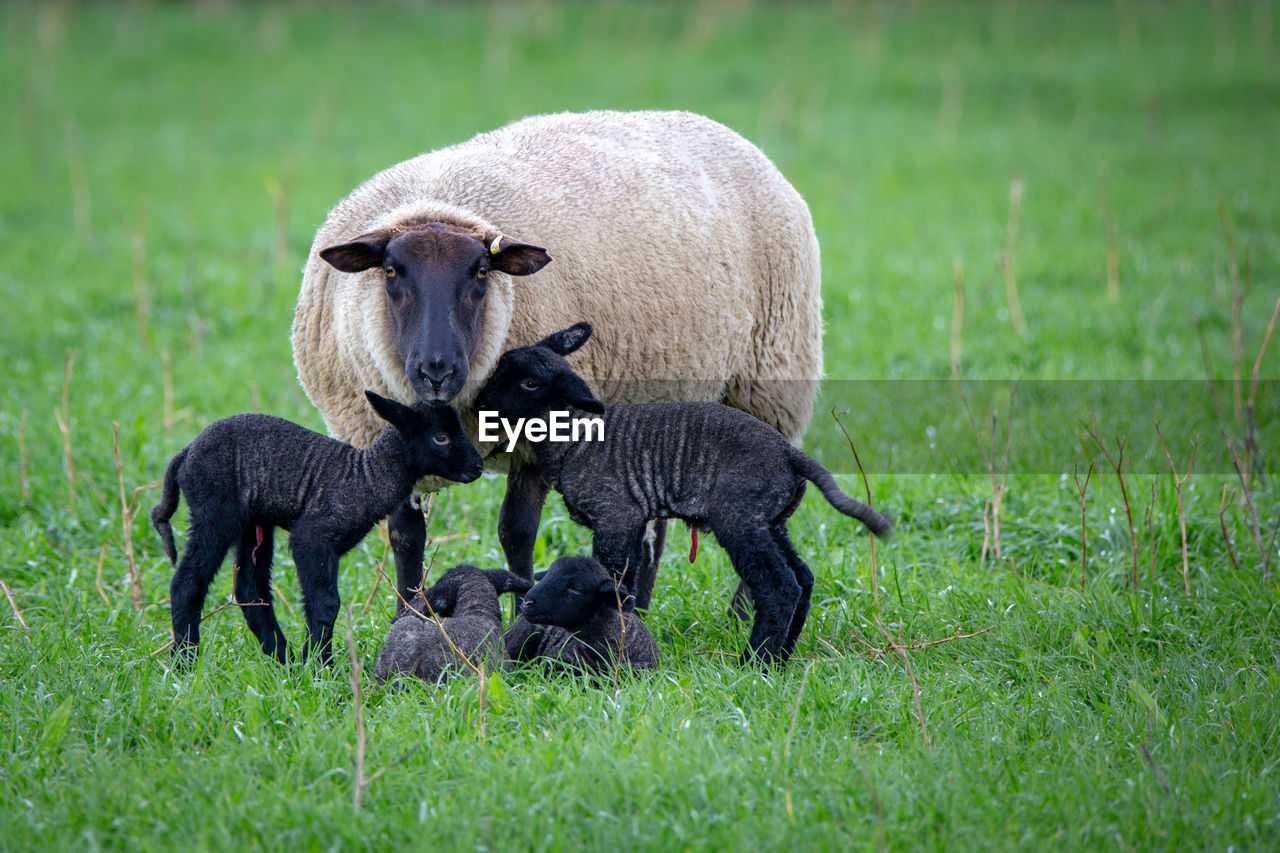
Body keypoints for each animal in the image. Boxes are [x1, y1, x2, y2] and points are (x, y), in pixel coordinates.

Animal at [148, 391, 483, 666]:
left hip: (253, 523)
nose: (478, 466)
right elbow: (326, 603)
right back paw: (185, 662)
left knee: (249, 588)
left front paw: (313, 662)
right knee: (187, 583)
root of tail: (186, 452)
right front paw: (322, 665)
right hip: (214, 513)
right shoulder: (312, 538)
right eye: (441, 437)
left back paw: (284, 661)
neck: (366, 476)